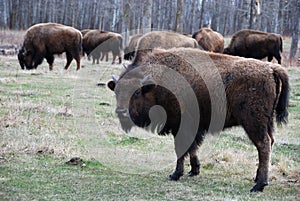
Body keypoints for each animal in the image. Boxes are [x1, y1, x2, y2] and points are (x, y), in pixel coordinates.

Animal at [108, 47, 288, 193]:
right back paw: (257, 179)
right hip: (267, 122)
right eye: (117, 91)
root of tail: (270, 68)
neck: (156, 83)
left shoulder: (181, 125)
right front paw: (193, 171)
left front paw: (175, 174)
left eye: (137, 92)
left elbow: (181, 149)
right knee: (269, 142)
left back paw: (259, 185)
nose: (121, 111)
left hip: (253, 123)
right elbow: (193, 148)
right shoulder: (193, 127)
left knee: (263, 145)